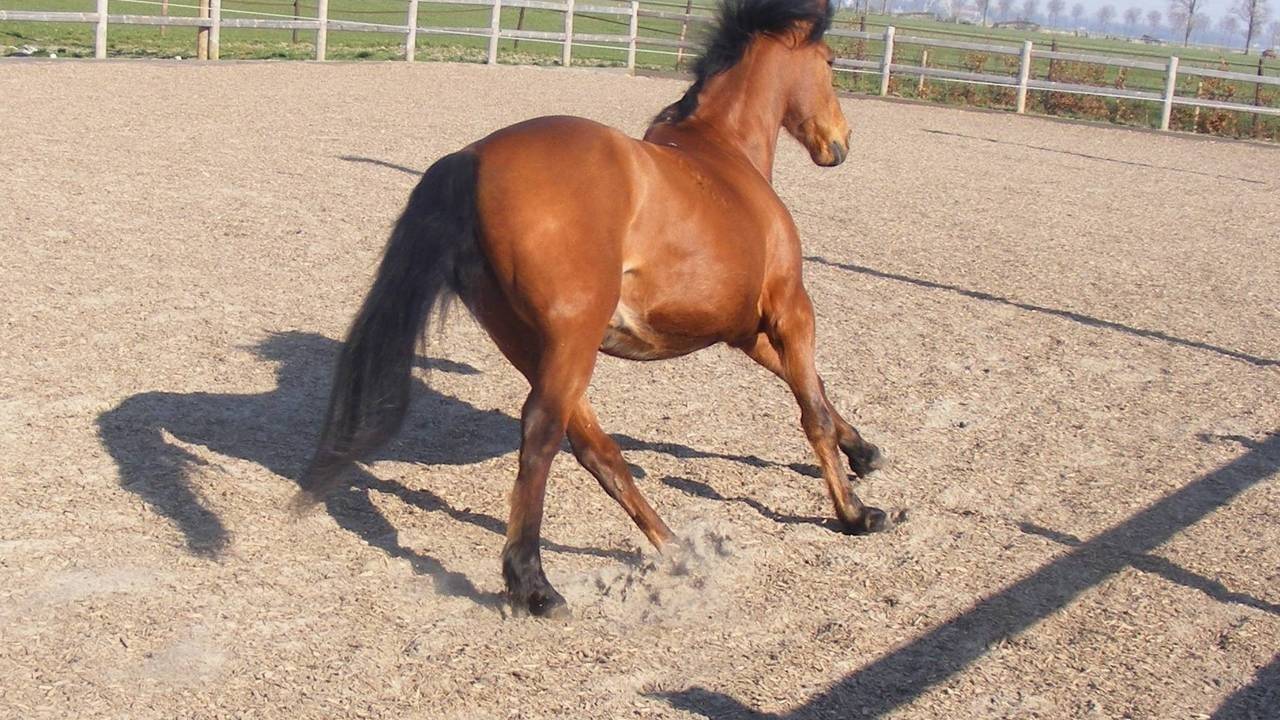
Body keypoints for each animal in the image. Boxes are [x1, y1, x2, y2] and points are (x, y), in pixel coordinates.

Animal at [295, 0, 890, 619]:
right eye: (830, 62)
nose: (840, 141)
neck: (727, 157)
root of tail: (472, 157)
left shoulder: (745, 328)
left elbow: (810, 385)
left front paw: (865, 452)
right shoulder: (790, 307)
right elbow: (811, 409)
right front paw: (855, 512)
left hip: (533, 343)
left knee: (593, 447)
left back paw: (675, 547)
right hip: (572, 339)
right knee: (542, 434)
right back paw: (534, 584)